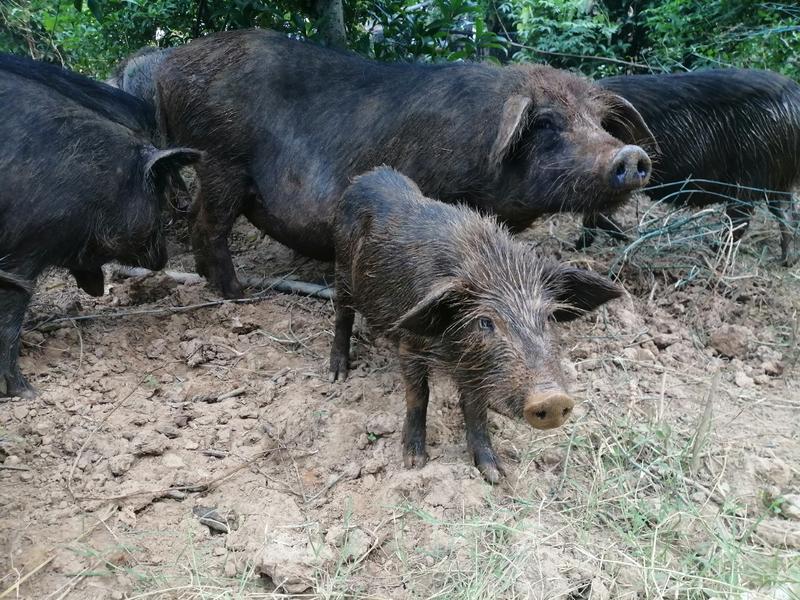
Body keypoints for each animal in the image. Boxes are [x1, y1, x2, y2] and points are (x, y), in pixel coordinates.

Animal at [152, 28, 656, 300]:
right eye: (547, 123)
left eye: (599, 121)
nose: (630, 155)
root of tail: (167, 62)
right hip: (221, 158)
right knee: (208, 225)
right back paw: (236, 295)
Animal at [328, 165, 620, 482]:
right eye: (485, 322)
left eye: (546, 317)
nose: (552, 399)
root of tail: (369, 175)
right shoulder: (410, 343)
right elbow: (419, 395)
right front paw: (414, 462)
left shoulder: (474, 369)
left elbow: (476, 409)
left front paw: (495, 475)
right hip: (342, 269)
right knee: (342, 314)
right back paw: (337, 376)